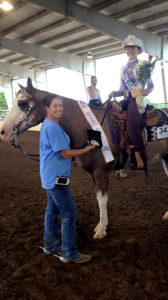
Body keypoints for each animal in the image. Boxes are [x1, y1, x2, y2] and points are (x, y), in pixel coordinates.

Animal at [0, 78, 168, 239]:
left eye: (22, 103)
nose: (3, 132)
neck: (86, 126)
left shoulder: (101, 171)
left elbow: (102, 199)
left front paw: (101, 230)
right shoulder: (93, 173)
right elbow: (98, 198)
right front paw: (101, 225)